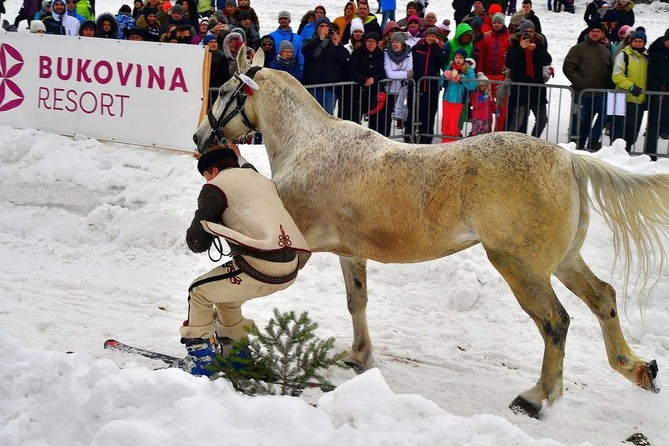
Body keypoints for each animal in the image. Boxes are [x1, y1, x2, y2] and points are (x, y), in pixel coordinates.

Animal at [190, 47, 664, 416]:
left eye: (224, 91)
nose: (198, 136)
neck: (309, 148)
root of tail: (568, 160)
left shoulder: (288, 249)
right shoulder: (350, 253)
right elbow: (357, 302)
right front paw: (358, 357)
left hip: (522, 268)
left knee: (556, 322)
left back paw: (537, 397)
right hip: (563, 261)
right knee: (603, 299)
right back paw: (637, 367)